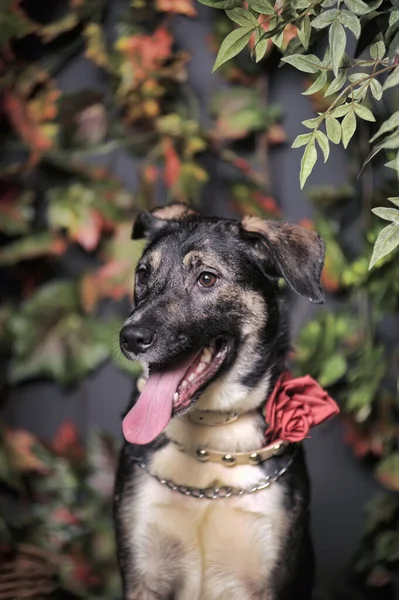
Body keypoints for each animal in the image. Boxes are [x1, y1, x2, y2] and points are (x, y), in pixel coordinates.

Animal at [114, 203, 326, 600]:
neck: (213, 434)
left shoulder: (268, 579)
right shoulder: (142, 575)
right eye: (143, 274)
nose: (130, 337)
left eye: (207, 279)